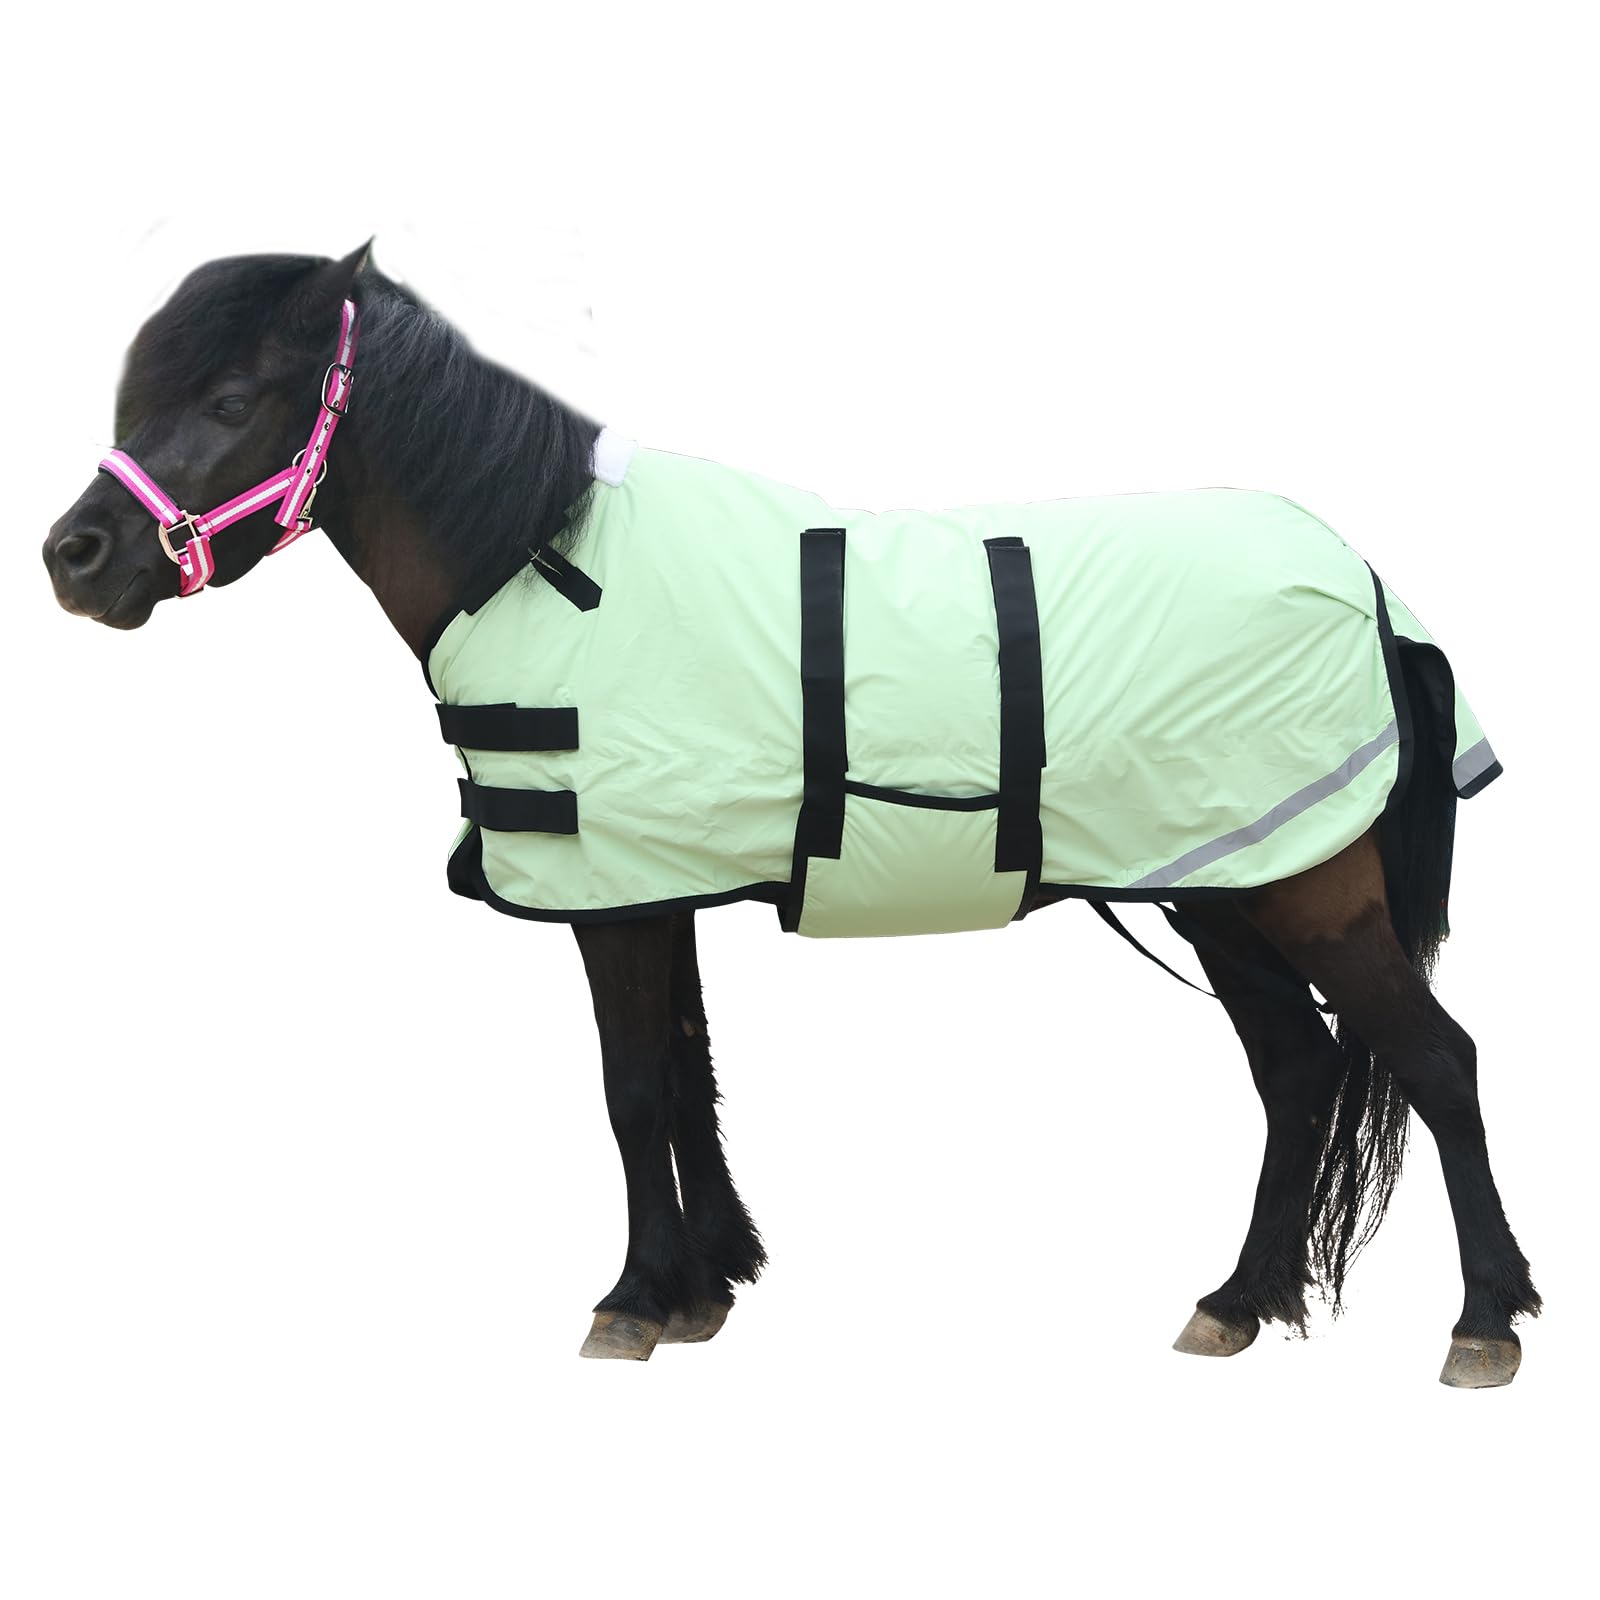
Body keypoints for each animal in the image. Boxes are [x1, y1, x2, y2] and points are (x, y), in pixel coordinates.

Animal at [42, 244, 1540, 1384]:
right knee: (1297, 1073)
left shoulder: (611, 901)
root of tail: (1360, 576)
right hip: (1225, 884)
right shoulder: (655, 888)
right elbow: (686, 1077)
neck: (541, 559)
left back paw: (1484, 1320)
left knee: (1437, 1060)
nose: (75, 557)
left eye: (232, 395)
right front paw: (706, 1286)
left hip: (1306, 892)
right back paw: (1235, 1301)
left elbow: (633, 1088)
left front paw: (634, 1299)